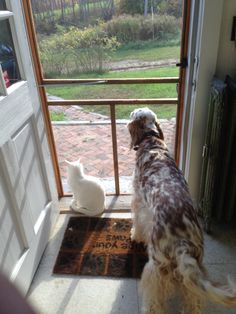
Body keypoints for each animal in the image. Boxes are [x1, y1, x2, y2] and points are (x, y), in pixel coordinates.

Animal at [128, 107, 236, 312]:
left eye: (132, 114)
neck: (151, 141)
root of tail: (182, 242)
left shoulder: (139, 200)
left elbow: (137, 222)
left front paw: (135, 236)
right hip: (195, 266)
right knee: (194, 300)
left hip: (156, 265)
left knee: (155, 297)